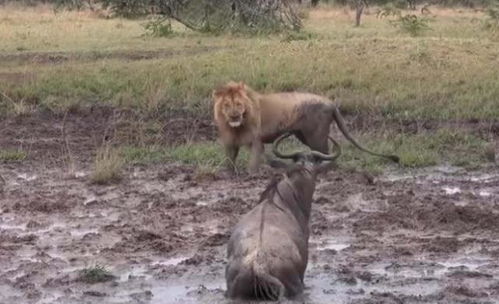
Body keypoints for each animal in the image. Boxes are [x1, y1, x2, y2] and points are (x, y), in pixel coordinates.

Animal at [213, 80, 400, 173]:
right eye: (227, 105)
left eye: (239, 104)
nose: (234, 116)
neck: (236, 126)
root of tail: (331, 103)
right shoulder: (230, 143)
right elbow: (229, 162)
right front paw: (230, 174)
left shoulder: (256, 142)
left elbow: (253, 164)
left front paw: (251, 175)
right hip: (303, 135)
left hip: (316, 136)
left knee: (326, 155)